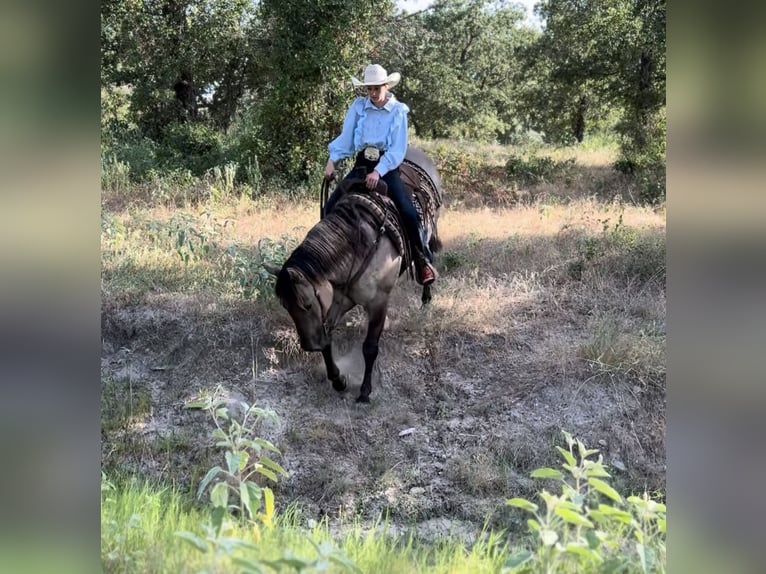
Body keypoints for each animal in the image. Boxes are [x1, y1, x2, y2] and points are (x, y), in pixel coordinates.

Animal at [268, 146, 444, 402]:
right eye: (285, 306)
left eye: (307, 304)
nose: (309, 346)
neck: (357, 245)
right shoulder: (337, 301)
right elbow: (328, 340)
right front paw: (338, 380)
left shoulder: (378, 301)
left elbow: (369, 347)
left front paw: (364, 391)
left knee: (427, 255)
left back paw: (426, 296)